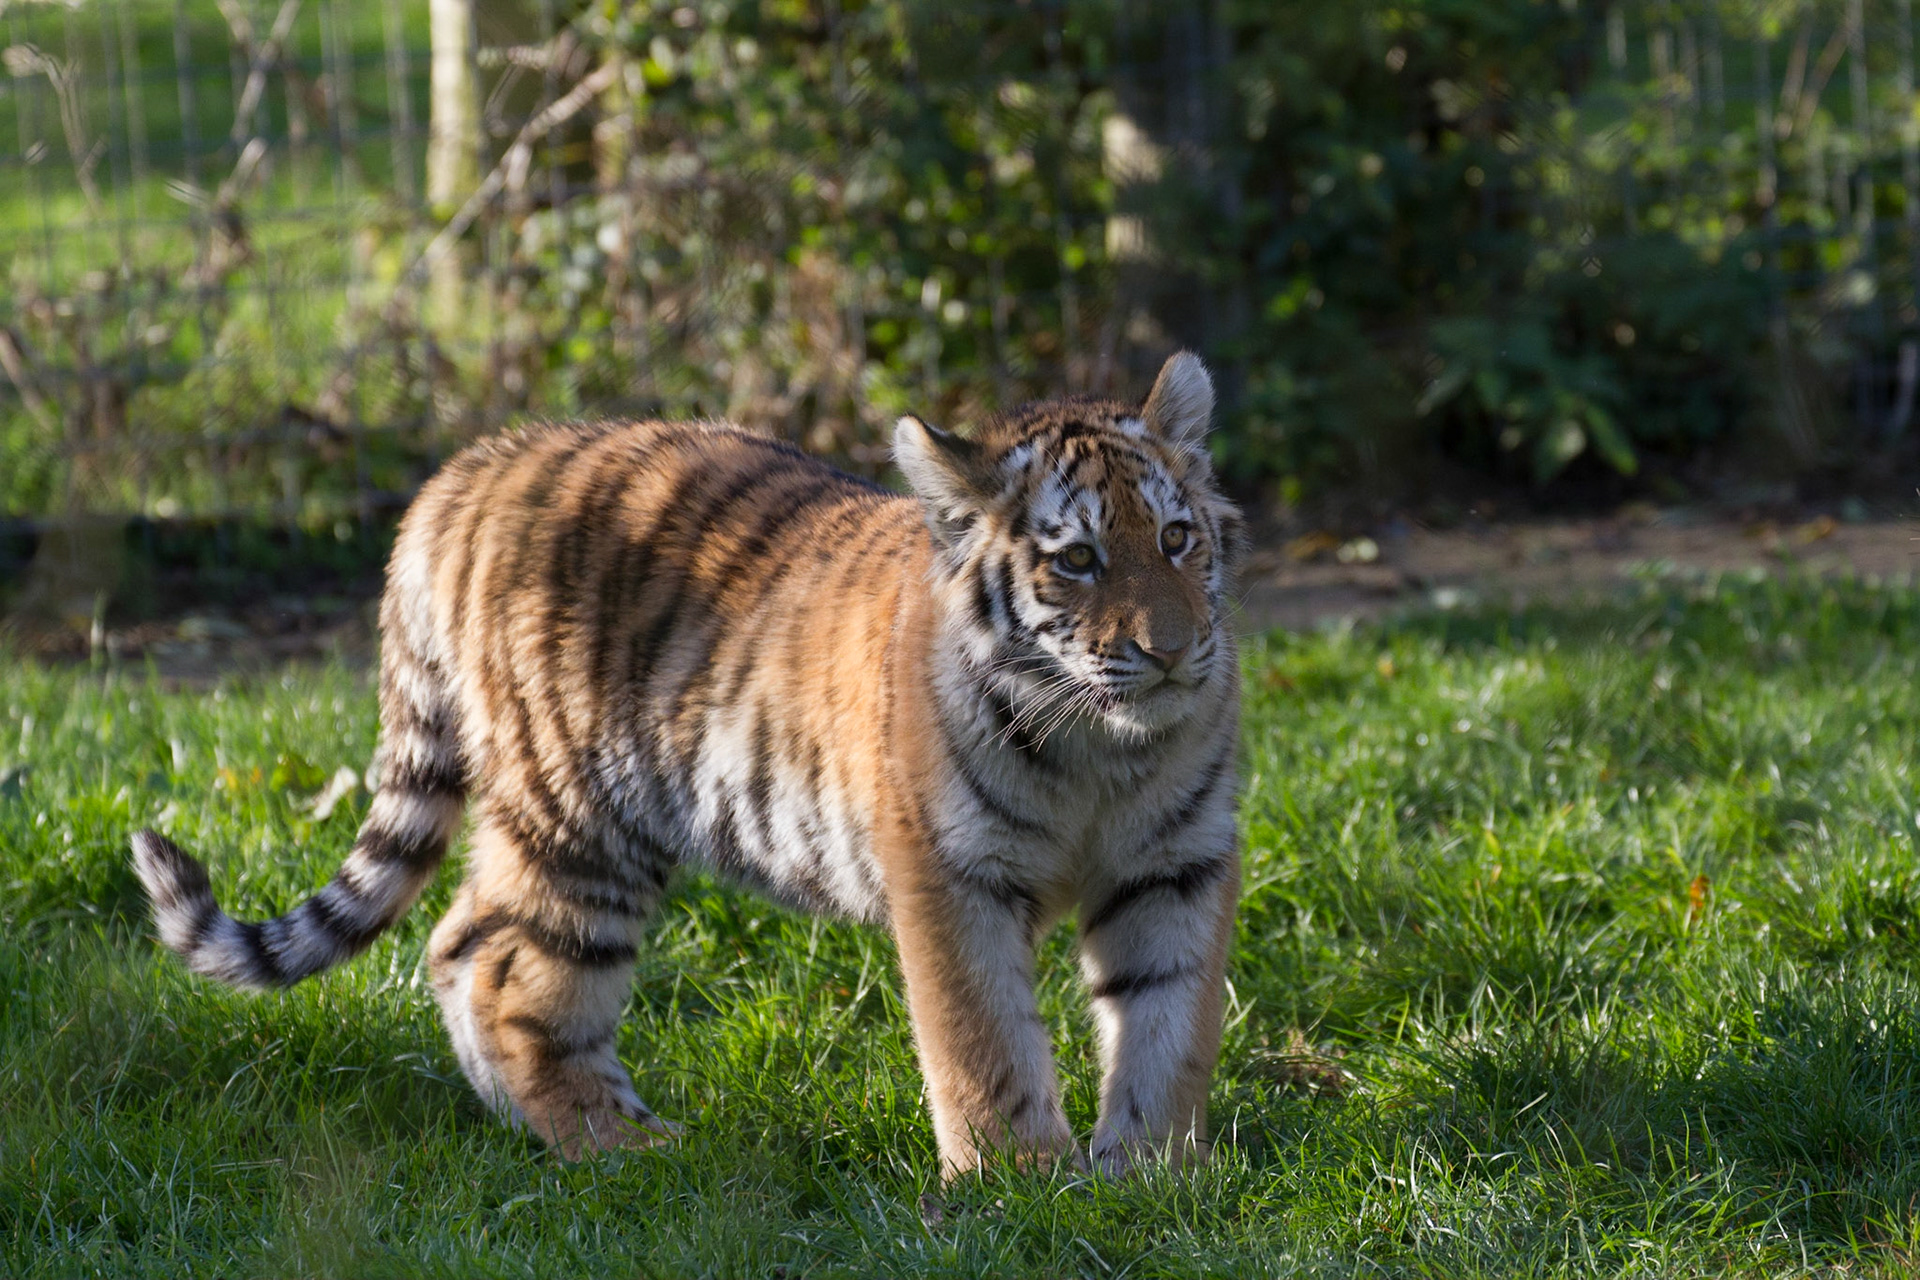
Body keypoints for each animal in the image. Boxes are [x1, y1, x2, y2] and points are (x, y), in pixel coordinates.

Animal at [131, 351, 1245, 1179]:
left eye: (1176, 537)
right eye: (1078, 560)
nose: (1172, 650)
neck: (1100, 749)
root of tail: (473, 466)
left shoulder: (1176, 863)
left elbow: (1170, 1020)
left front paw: (1150, 1175)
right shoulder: (950, 872)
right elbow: (984, 1039)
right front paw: (1023, 1184)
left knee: (455, 938)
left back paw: (532, 1123)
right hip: (580, 818)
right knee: (510, 966)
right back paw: (618, 1144)